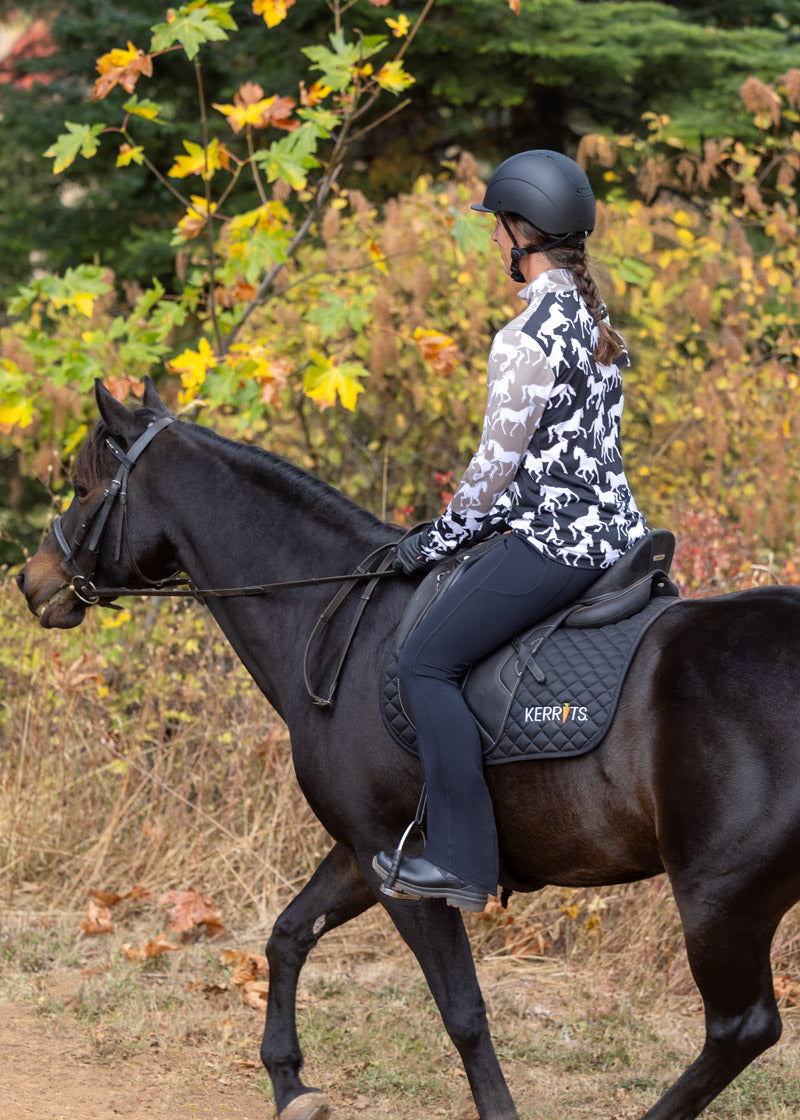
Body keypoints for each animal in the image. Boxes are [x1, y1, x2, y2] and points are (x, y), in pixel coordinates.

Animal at [16, 378, 800, 1120]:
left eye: (83, 487)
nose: (31, 581)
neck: (339, 622)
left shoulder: (405, 868)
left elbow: (463, 1011)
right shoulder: (367, 850)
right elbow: (287, 935)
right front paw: (289, 1083)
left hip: (719, 899)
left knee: (740, 1028)